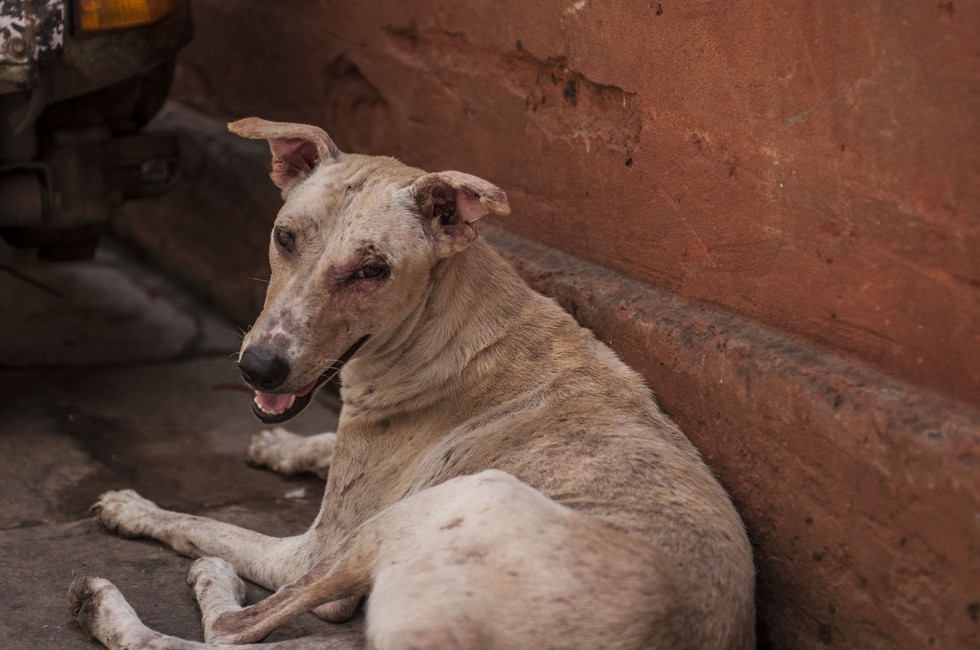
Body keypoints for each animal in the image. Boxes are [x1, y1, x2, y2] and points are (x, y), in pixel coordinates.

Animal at [71, 119, 756, 644]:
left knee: (234, 627)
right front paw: (283, 447)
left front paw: (139, 509)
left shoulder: (315, 546)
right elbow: (325, 446)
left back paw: (146, 595)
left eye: (371, 270)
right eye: (284, 237)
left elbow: (203, 525)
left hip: (444, 507)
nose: (257, 367)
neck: (440, 331)